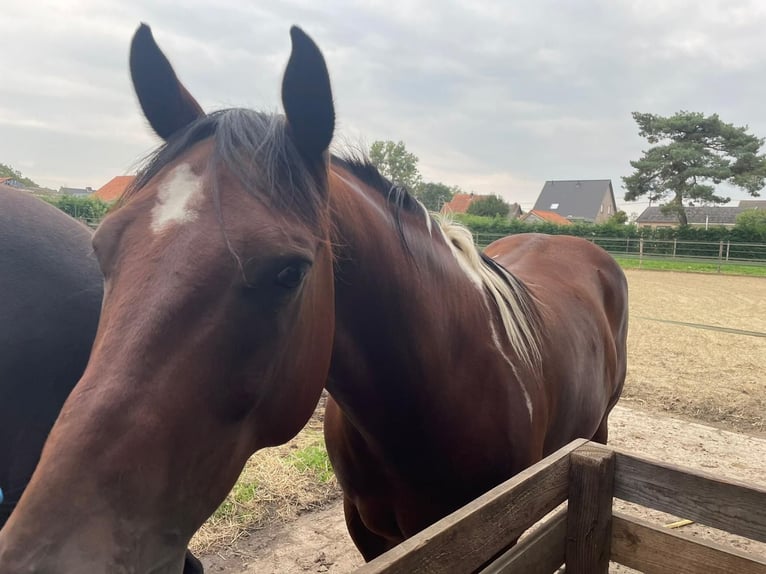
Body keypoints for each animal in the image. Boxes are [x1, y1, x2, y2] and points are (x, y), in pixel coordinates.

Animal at [0, 21, 628, 572]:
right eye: (102, 249)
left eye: (289, 272)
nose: (46, 556)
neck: (439, 392)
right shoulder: (372, 534)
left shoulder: (494, 535)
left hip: (595, 430)